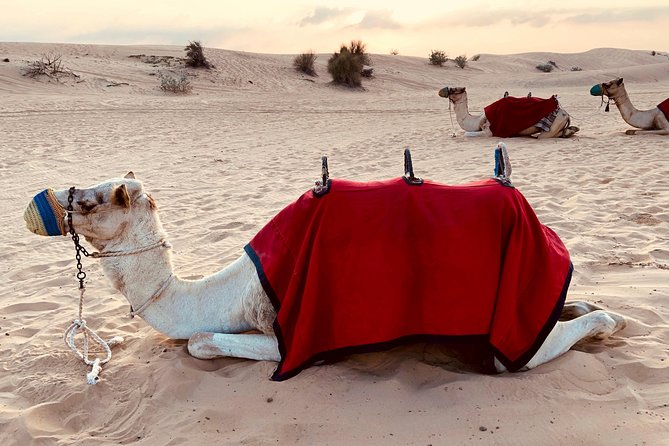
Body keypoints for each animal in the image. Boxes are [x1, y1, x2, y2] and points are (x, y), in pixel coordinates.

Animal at [27, 171, 626, 380]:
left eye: (91, 201)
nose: (47, 202)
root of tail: (529, 214)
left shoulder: (291, 333)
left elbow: (199, 341)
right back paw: (587, 305)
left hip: (507, 327)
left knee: (541, 344)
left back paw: (611, 321)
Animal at [438, 87, 580, 138]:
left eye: (454, 89)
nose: (441, 91)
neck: (478, 120)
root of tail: (566, 114)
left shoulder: (490, 132)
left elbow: (468, 133)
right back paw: (572, 129)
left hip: (551, 128)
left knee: (544, 136)